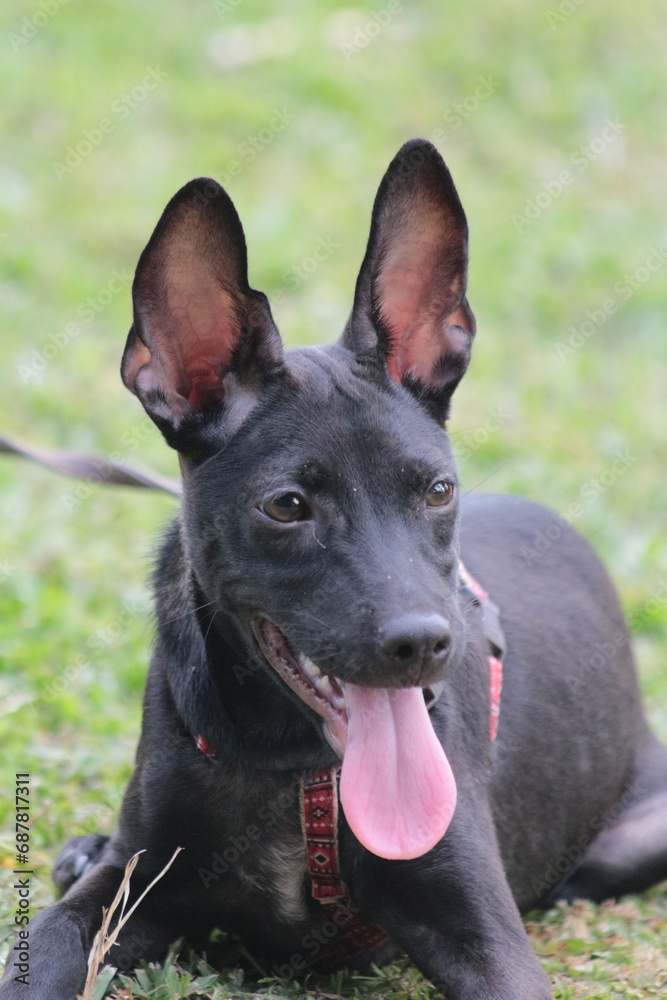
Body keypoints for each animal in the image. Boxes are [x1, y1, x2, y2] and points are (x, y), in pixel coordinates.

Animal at [2, 139, 664, 1000]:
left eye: (438, 490)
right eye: (286, 506)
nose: (423, 645)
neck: (296, 769)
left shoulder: (482, 930)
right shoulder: (133, 883)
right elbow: (42, 947)